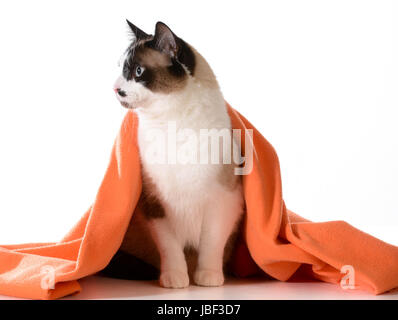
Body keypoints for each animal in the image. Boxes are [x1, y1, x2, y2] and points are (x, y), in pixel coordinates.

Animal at [110, 21, 244, 288]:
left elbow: (211, 245)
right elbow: (170, 250)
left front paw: (208, 279)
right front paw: (174, 280)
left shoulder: (222, 203)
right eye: (121, 69)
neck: (171, 127)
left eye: (138, 71)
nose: (116, 89)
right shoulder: (155, 206)